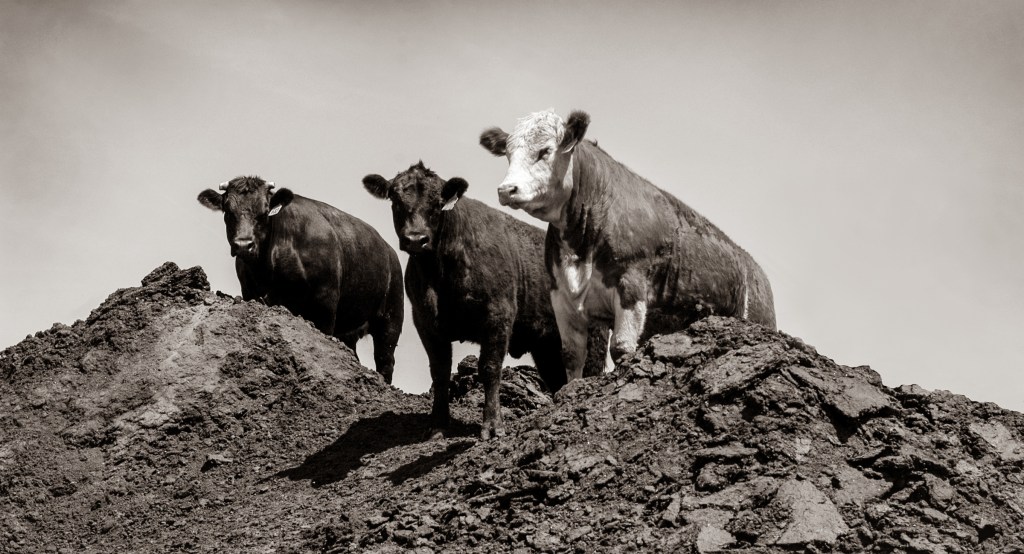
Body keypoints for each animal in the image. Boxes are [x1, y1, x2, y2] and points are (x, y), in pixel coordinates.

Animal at [197, 176, 404, 384]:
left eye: (264, 212)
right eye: (228, 212)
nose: (243, 245)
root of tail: (389, 251)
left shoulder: (325, 303)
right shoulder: (251, 293)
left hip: (391, 318)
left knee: (385, 361)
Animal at [362, 162, 607, 439]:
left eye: (438, 202)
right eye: (395, 199)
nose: (416, 238)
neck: (439, 273)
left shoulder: (498, 315)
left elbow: (489, 368)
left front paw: (492, 425)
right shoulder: (426, 322)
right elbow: (439, 371)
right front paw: (437, 424)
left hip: (591, 338)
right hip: (547, 347)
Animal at [480, 109, 776, 382]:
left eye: (545, 151)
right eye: (508, 154)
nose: (506, 190)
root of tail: (754, 269)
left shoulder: (632, 284)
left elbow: (621, 347)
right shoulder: (561, 294)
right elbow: (572, 355)